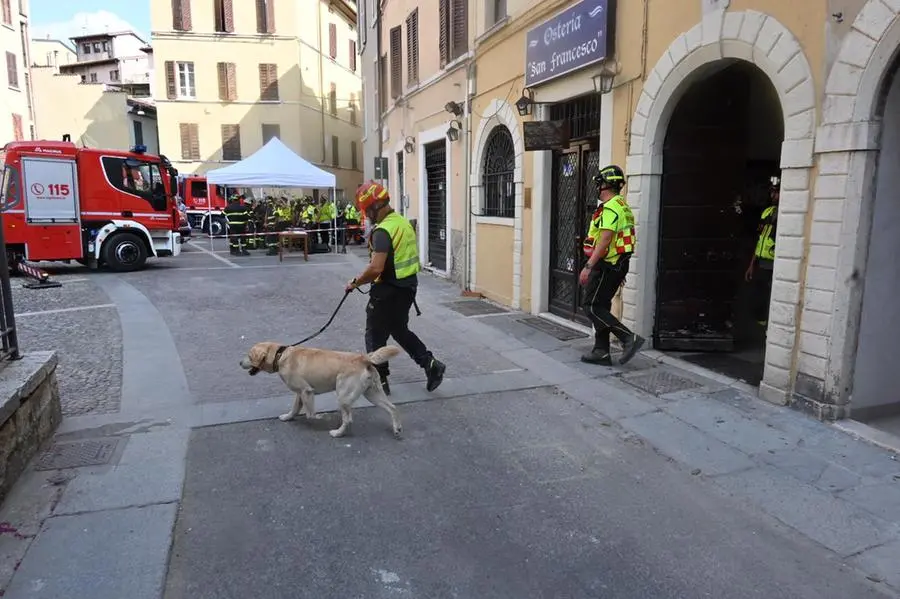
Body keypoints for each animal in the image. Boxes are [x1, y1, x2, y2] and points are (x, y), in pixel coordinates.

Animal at [243, 342, 404, 440]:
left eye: (249, 356)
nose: (239, 362)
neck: (280, 355)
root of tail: (363, 358)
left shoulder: (306, 391)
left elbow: (310, 414)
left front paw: (321, 418)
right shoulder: (300, 393)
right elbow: (295, 408)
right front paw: (288, 417)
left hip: (343, 396)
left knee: (348, 419)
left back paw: (337, 433)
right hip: (372, 393)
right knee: (392, 408)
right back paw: (397, 428)